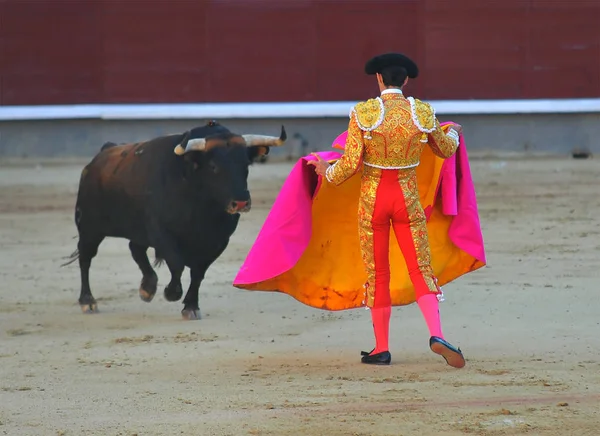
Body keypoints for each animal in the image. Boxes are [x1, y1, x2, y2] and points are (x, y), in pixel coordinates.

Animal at [62, 121, 288, 318]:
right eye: (213, 166)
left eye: (246, 165)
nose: (240, 203)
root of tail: (101, 155)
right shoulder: (162, 233)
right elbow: (177, 264)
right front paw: (171, 293)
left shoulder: (218, 241)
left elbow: (198, 273)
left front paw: (191, 306)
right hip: (89, 227)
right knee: (86, 258)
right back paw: (88, 301)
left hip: (136, 229)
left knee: (135, 249)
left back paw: (148, 287)